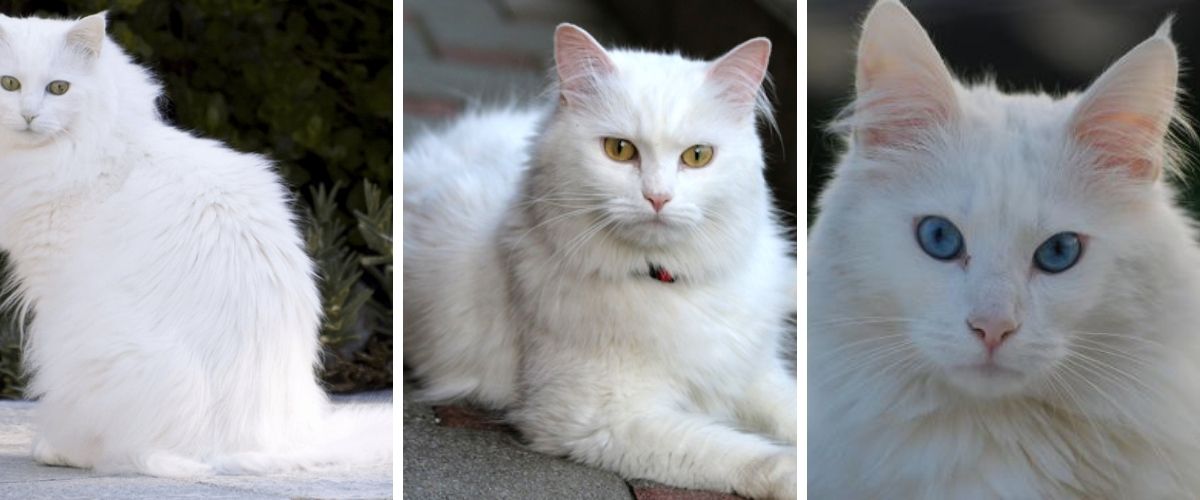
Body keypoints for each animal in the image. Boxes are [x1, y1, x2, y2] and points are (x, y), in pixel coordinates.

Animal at [403, 24, 796, 498]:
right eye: (620, 150)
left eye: (697, 156)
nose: (658, 198)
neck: (666, 281)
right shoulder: (600, 420)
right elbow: (739, 452)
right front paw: (793, 473)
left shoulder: (753, 373)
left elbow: (796, 411)